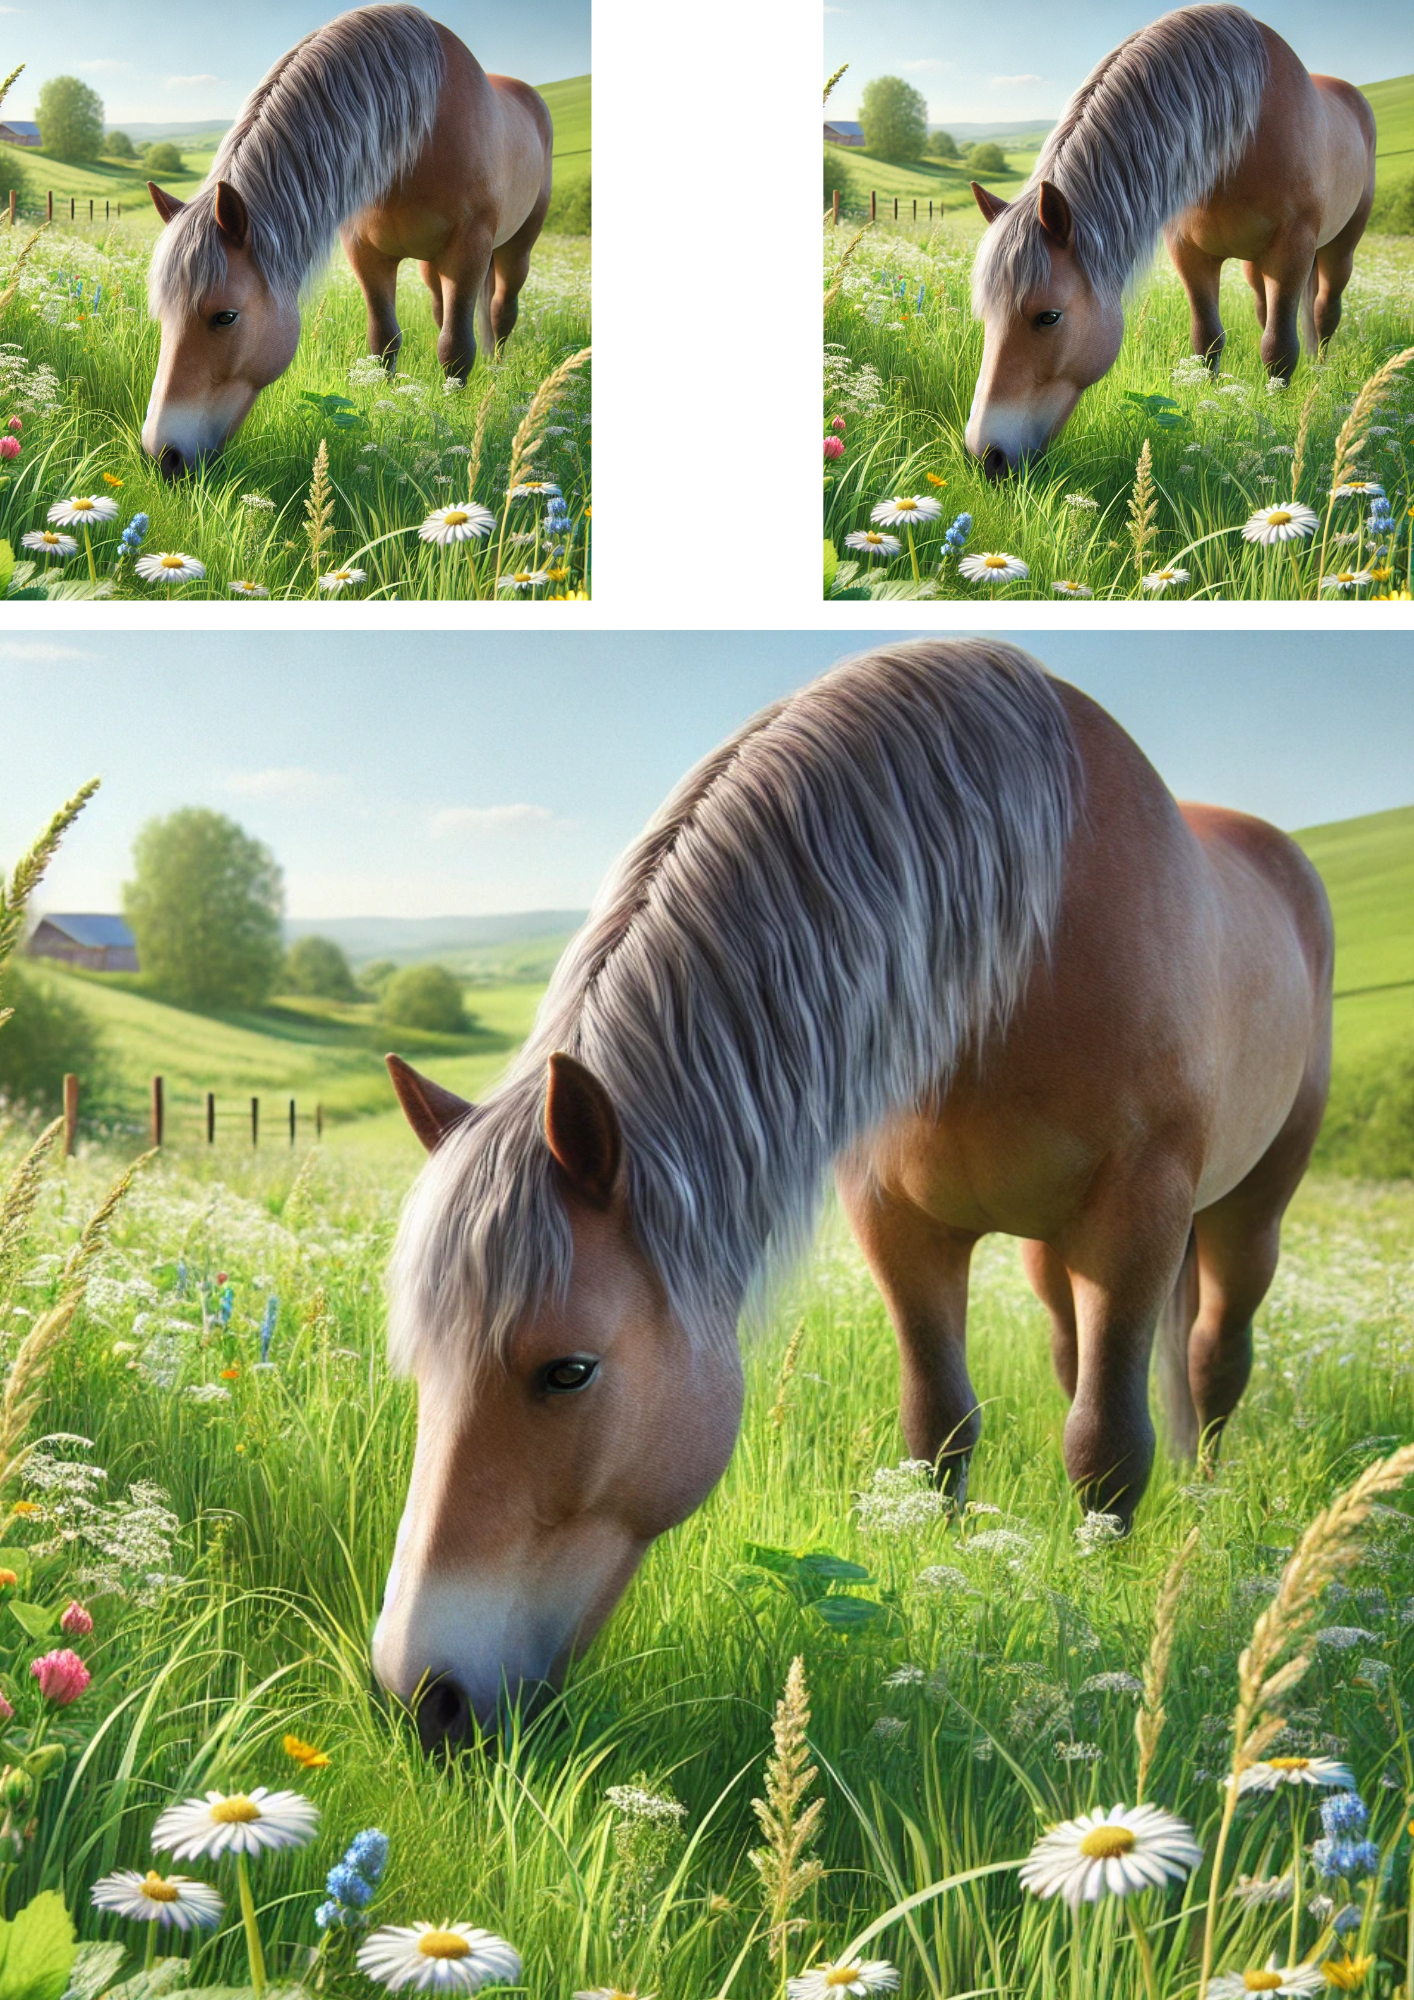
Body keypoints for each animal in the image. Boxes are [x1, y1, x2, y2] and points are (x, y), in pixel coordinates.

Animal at [141, 4, 553, 477]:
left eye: (225, 317)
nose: (161, 455)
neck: (419, 133)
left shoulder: (469, 249)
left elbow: (456, 349)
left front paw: (453, 422)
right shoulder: (366, 254)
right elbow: (384, 341)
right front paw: (387, 406)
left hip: (514, 247)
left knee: (501, 313)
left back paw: (498, 372)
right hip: (432, 266)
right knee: (442, 310)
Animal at [373, 639, 1333, 1748]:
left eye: (568, 1371)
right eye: (422, 1363)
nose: (420, 1694)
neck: (1023, 939)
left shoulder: (1138, 1214)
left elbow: (1107, 1447)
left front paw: (1103, 1616)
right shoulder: (899, 1224)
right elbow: (939, 1428)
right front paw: (946, 1579)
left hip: (1242, 1210)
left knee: (1212, 1361)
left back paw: (1206, 1499)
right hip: (1051, 1252)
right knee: (1079, 1357)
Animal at [964, 5, 1375, 477]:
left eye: (1048, 317)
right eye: (986, 313)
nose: (985, 455)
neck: (1243, 133)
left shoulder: (1293, 249)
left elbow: (1279, 349)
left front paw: (1276, 421)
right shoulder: (1190, 254)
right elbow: (1207, 340)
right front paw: (1209, 405)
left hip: (1337, 248)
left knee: (1324, 313)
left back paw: (1322, 371)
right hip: (1255, 266)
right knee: (1266, 310)